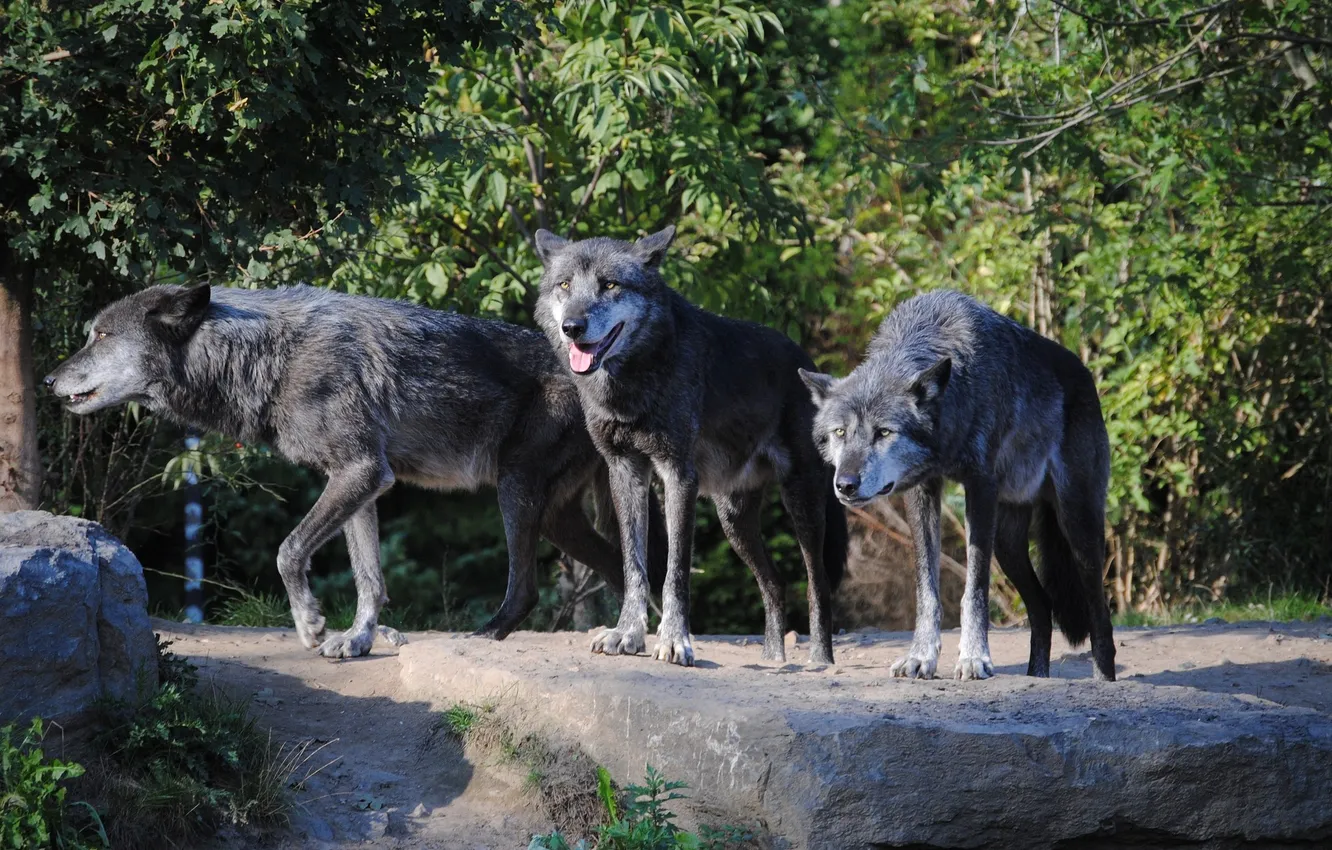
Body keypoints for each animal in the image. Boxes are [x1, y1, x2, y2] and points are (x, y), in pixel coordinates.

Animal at [45, 284, 659, 658]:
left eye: (102, 336)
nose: (49, 381)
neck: (269, 355)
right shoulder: (362, 482)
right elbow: (370, 577)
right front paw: (358, 639)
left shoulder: (359, 471)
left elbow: (288, 550)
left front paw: (310, 623)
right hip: (556, 517)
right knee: (621, 565)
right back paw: (631, 635)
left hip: (515, 491)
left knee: (529, 587)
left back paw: (490, 634)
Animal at [532, 226, 848, 666]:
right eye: (564, 285)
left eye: (609, 285)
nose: (572, 327)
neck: (634, 382)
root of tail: (808, 363)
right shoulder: (625, 472)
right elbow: (634, 565)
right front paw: (627, 634)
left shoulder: (678, 475)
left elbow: (675, 571)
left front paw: (674, 641)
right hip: (734, 520)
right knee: (775, 582)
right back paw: (773, 659)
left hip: (802, 503)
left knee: (815, 583)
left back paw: (820, 660)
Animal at [800, 289, 1116, 681]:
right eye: (840, 432)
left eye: (884, 432)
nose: (845, 484)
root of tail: (1086, 374)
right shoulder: (922, 490)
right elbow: (926, 588)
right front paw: (920, 658)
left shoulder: (980, 487)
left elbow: (974, 588)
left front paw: (974, 658)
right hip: (1008, 544)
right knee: (1042, 607)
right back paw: (1036, 676)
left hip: (1077, 525)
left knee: (1100, 615)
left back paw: (1103, 680)